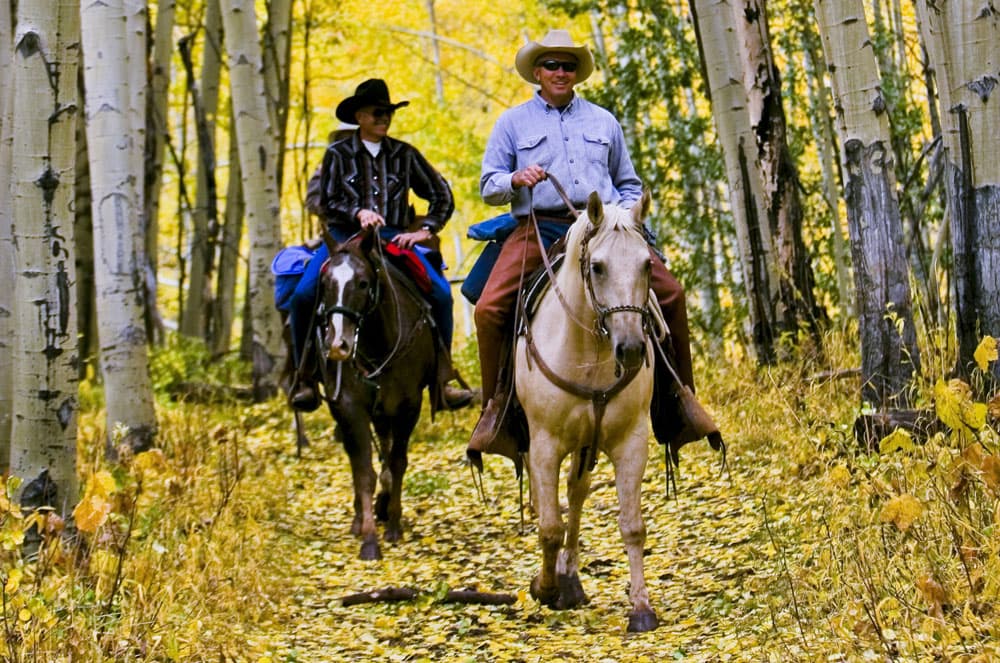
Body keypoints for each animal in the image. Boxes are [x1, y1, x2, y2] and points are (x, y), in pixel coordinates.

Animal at [308, 228, 441, 560]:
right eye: (325, 284)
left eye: (363, 283)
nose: (337, 346)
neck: (380, 341)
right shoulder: (350, 407)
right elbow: (363, 472)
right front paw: (369, 540)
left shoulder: (409, 406)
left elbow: (398, 462)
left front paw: (393, 524)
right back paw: (361, 517)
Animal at [515, 190, 661, 632]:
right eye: (597, 267)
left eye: (647, 264)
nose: (630, 350)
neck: (589, 355)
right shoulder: (545, 445)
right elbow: (549, 526)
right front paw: (543, 588)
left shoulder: (631, 442)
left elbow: (632, 526)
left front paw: (642, 608)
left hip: (586, 444)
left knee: (576, 492)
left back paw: (572, 578)